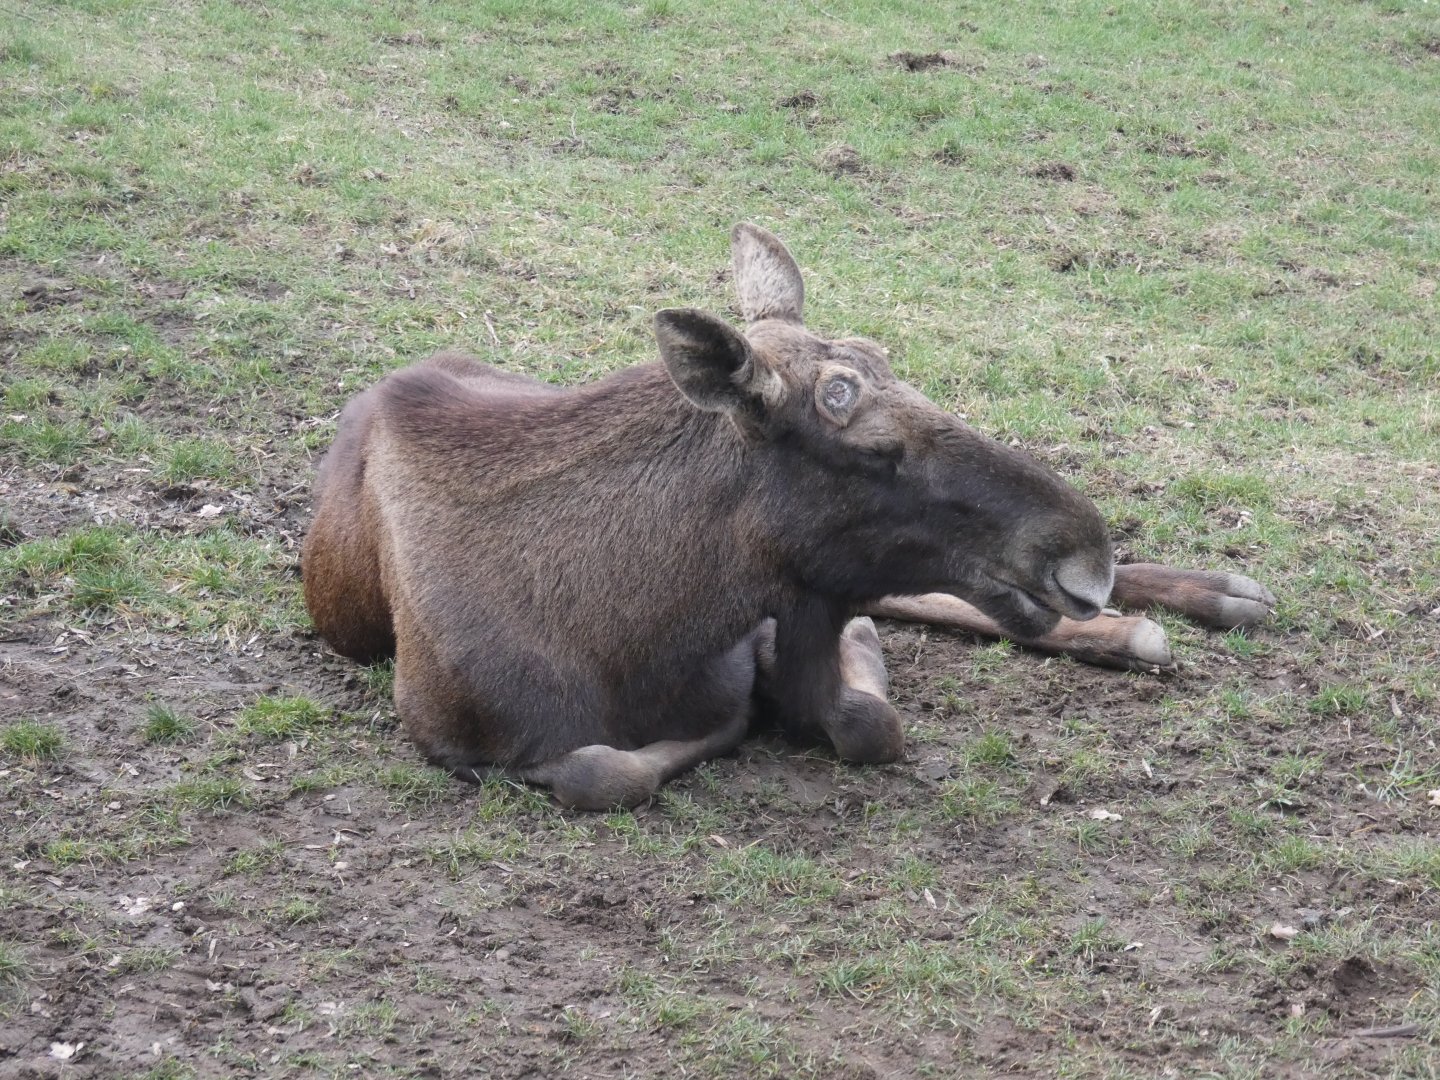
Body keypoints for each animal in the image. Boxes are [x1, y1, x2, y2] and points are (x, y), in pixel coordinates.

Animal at [302, 223, 1273, 810]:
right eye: (876, 450)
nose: (1085, 556)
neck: (629, 630)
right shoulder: (461, 738)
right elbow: (602, 769)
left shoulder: (786, 606)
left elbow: (862, 714)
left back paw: (1207, 596)